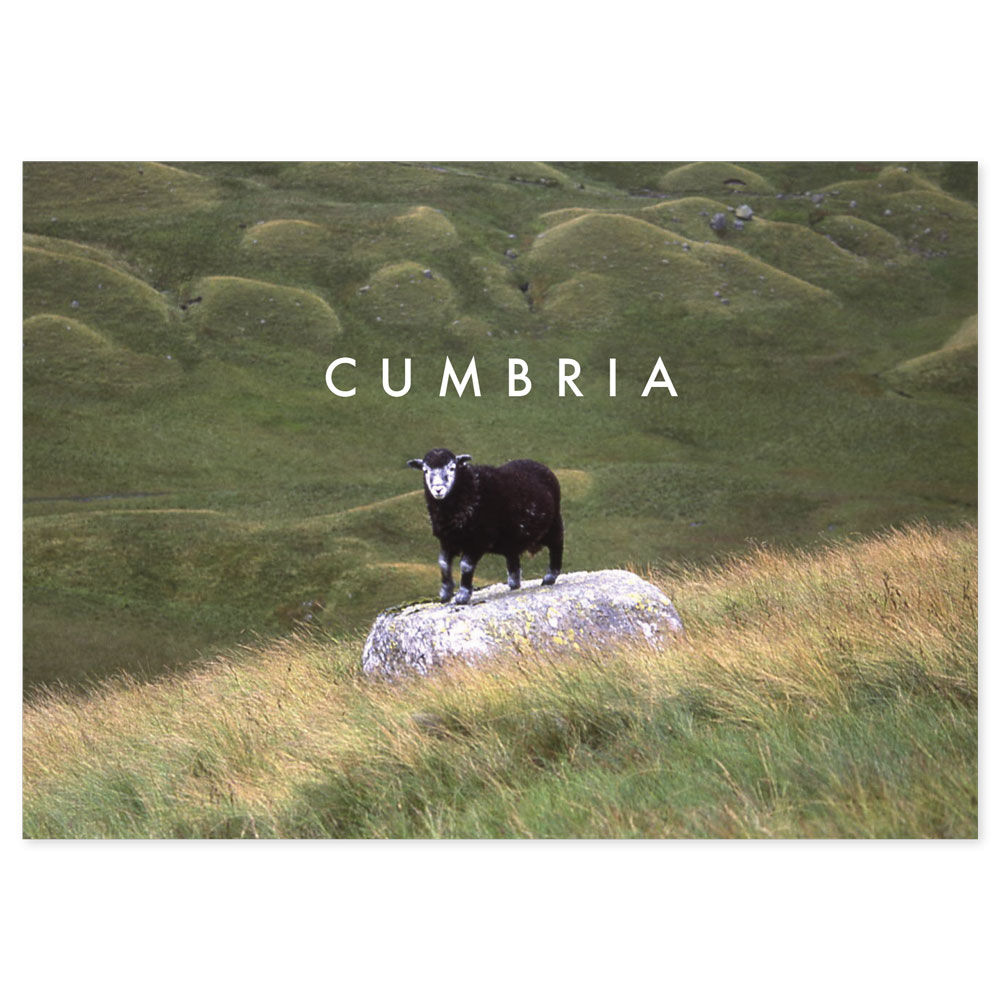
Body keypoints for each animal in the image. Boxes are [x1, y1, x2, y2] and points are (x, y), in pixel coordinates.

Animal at [406, 448, 564, 605]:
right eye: (425, 470)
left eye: (452, 468)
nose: (438, 489)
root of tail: (540, 465)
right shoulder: (447, 540)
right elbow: (443, 563)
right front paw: (446, 593)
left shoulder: (477, 540)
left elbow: (465, 566)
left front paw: (463, 595)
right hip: (512, 536)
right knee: (512, 556)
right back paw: (514, 583)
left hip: (554, 524)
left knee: (556, 547)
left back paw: (549, 578)